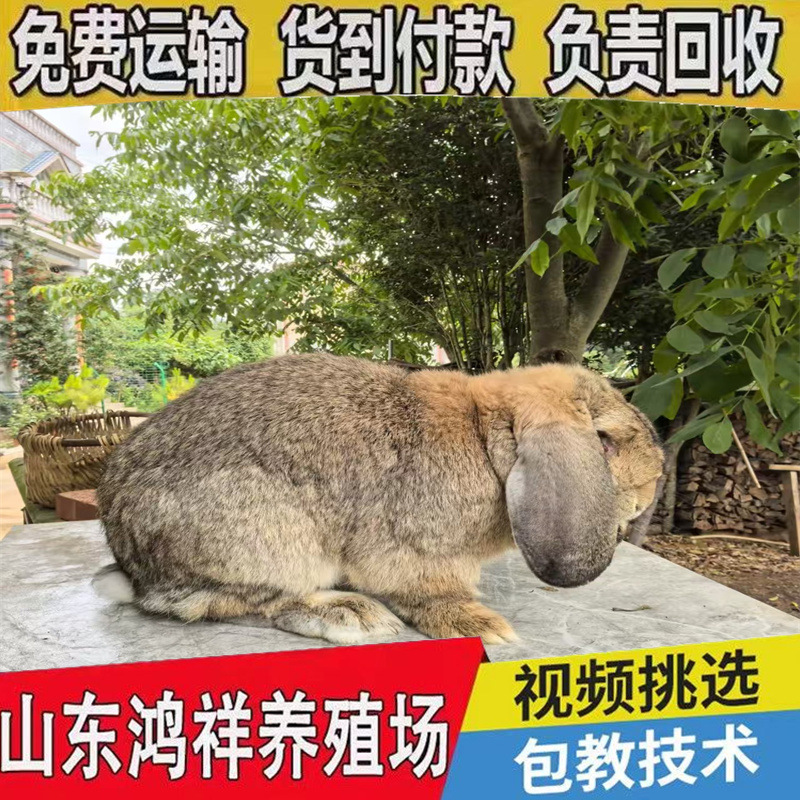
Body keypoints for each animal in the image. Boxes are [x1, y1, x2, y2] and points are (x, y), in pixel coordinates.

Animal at [96, 353, 664, 645]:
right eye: (605, 442)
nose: (653, 488)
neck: (485, 439)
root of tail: (133, 565)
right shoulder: (418, 554)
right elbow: (429, 594)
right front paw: (482, 627)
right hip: (272, 539)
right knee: (239, 604)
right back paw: (352, 617)